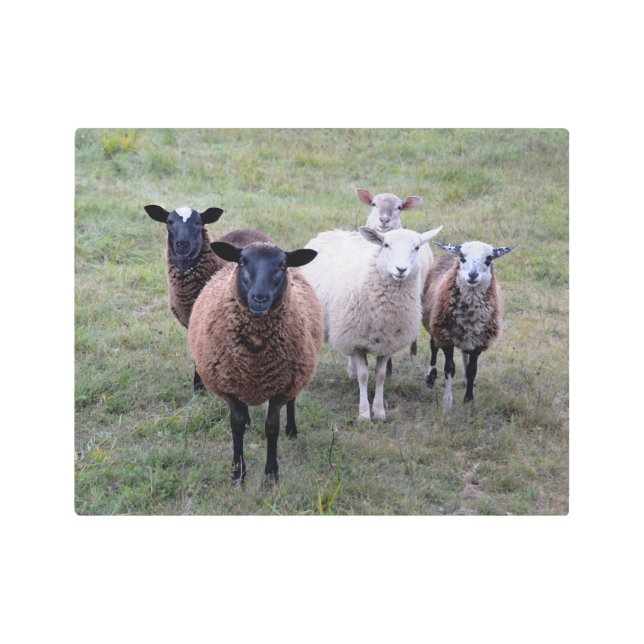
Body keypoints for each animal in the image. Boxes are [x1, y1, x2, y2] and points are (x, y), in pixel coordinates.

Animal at [188, 241, 323, 482]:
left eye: (283, 264)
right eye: (242, 262)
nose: (260, 298)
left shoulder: (282, 386)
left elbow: (272, 427)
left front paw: (271, 472)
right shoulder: (229, 386)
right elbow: (237, 424)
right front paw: (238, 471)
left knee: (292, 401)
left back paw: (292, 429)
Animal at [300, 225, 442, 421]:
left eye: (416, 247)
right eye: (386, 245)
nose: (401, 269)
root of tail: (334, 231)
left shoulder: (387, 344)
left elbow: (381, 376)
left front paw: (380, 411)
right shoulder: (357, 342)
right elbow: (364, 376)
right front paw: (364, 414)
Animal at [422, 240, 516, 406]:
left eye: (489, 259)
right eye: (462, 258)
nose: (473, 275)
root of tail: (449, 254)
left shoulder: (479, 341)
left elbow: (472, 370)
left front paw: (469, 399)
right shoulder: (446, 337)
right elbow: (449, 368)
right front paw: (447, 400)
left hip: (466, 336)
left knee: (465, 353)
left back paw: (465, 380)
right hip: (434, 325)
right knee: (433, 347)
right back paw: (430, 377)